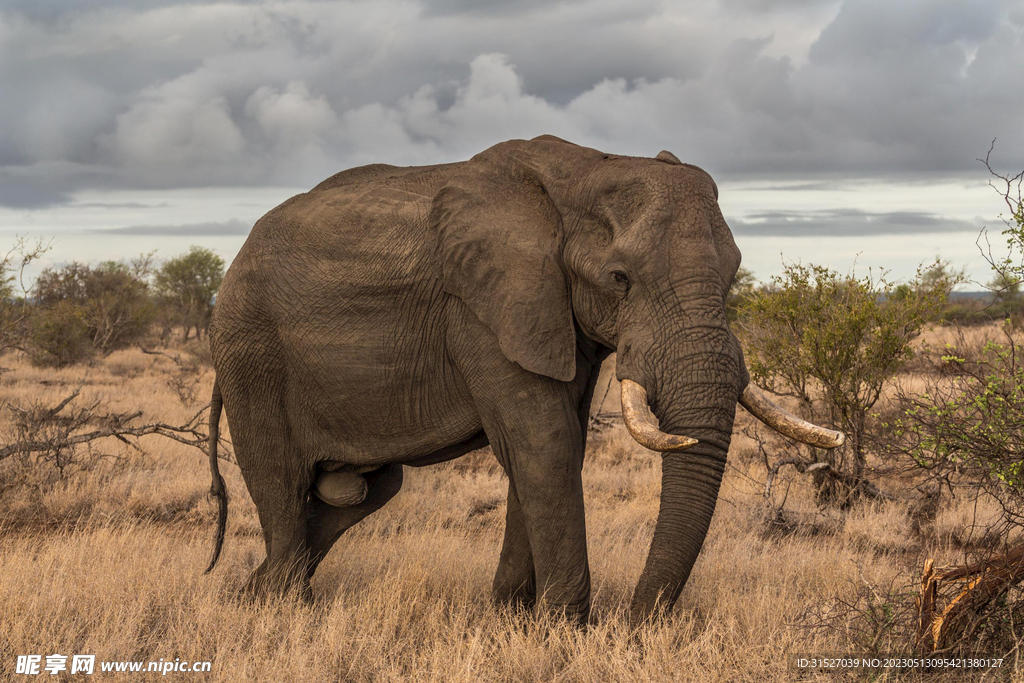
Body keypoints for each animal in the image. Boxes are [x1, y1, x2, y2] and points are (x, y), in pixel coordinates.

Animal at [201, 135, 839, 630]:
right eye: (620, 278)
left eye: (733, 276)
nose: (636, 626)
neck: (585, 169)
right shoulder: (482, 309)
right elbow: (544, 443)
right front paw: (564, 630)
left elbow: (557, 445)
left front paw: (510, 619)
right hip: (251, 351)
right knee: (281, 481)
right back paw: (282, 608)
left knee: (366, 491)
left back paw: (250, 593)